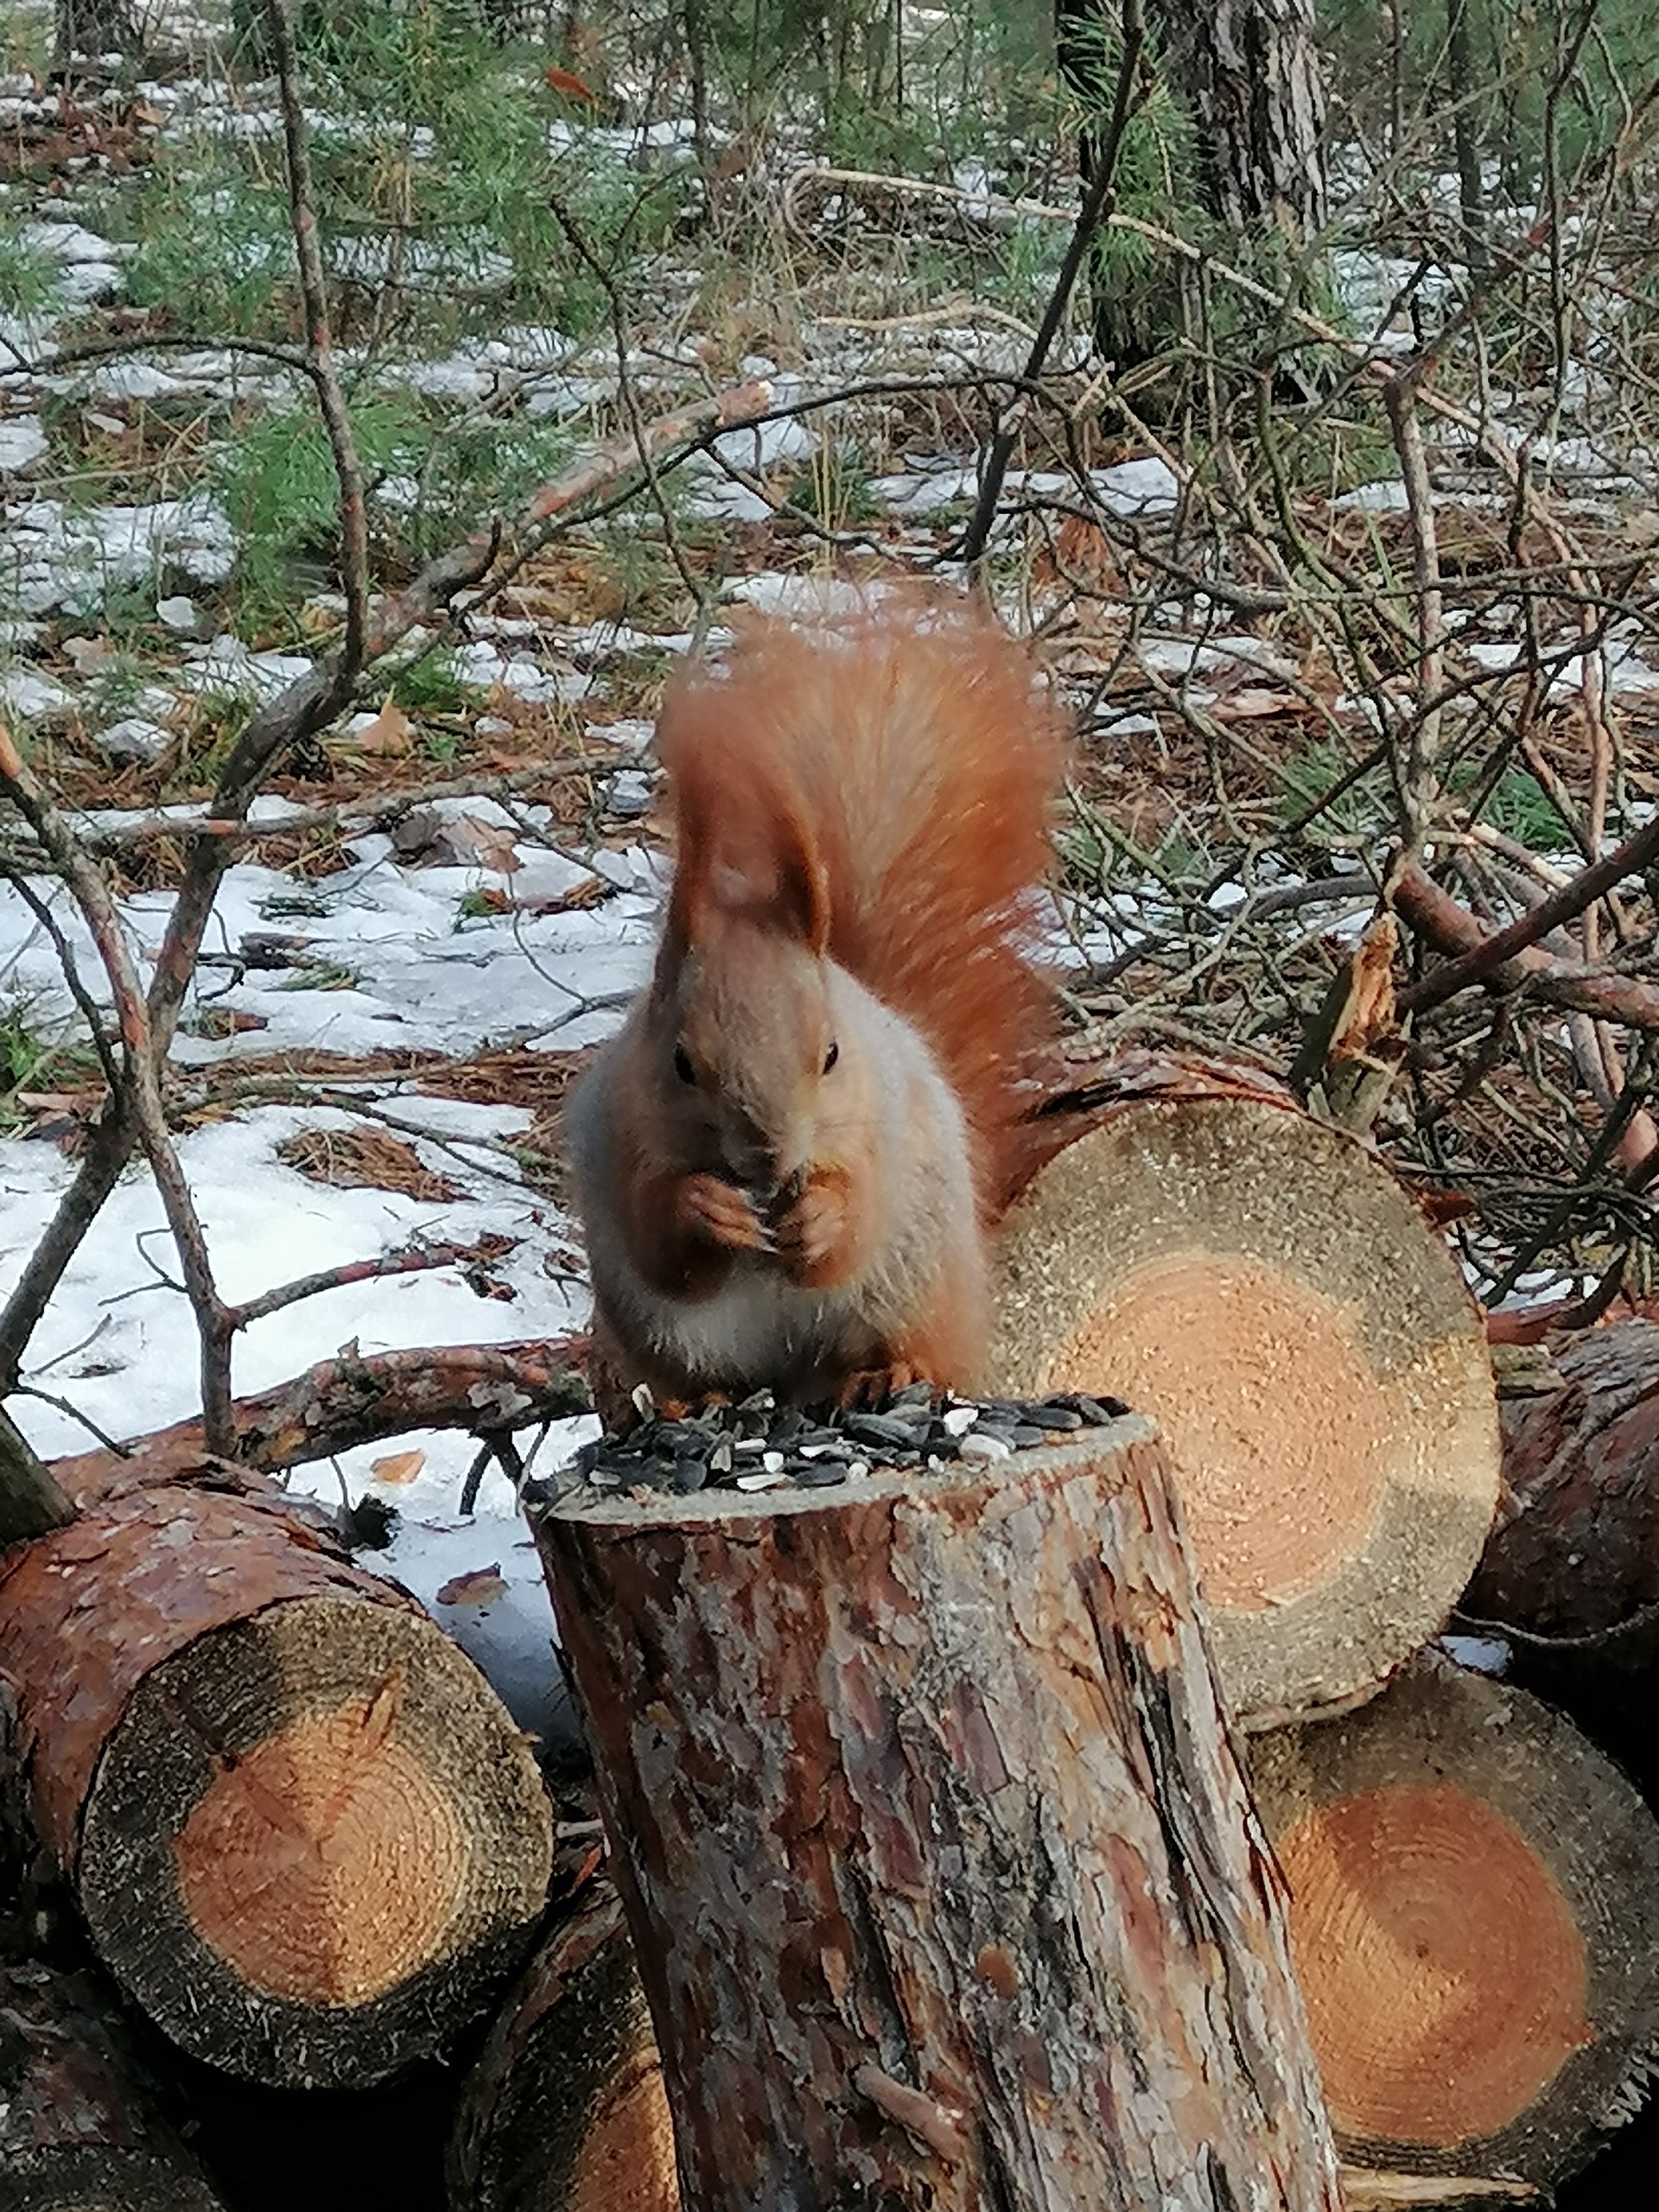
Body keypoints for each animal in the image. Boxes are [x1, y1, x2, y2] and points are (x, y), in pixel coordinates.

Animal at [570, 593, 1065, 1415]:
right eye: (681, 1064)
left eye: (831, 1054)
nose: (769, 1156)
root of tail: (792, 1383)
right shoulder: (621, 1135)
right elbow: (658, 1242)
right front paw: (707, 1209)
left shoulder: (881, 1134)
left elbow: (855, 1224)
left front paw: (822, 1219)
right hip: (655, 1341)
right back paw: (695, 1403)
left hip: (920, 1288)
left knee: (914, 1347)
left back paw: (885, 1373)